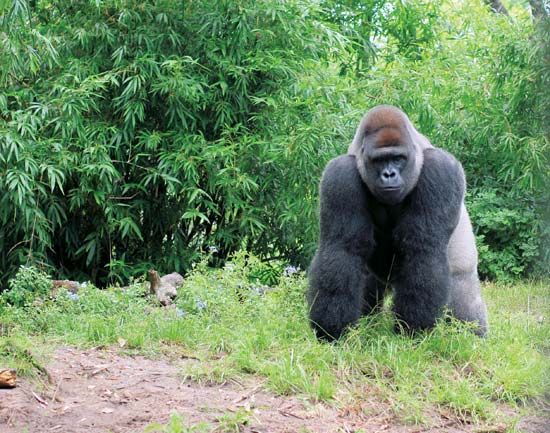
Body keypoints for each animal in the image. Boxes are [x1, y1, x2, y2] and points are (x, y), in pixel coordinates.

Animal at [308, 105, 490, 340]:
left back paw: (471, 334)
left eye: (398, 158)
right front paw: (332, 328)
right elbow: (343, 249)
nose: (389, 174)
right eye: (379, 160)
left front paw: (413, 329)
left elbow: (423, 249)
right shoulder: (339, 174)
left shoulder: (441, 169)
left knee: (463, 295)